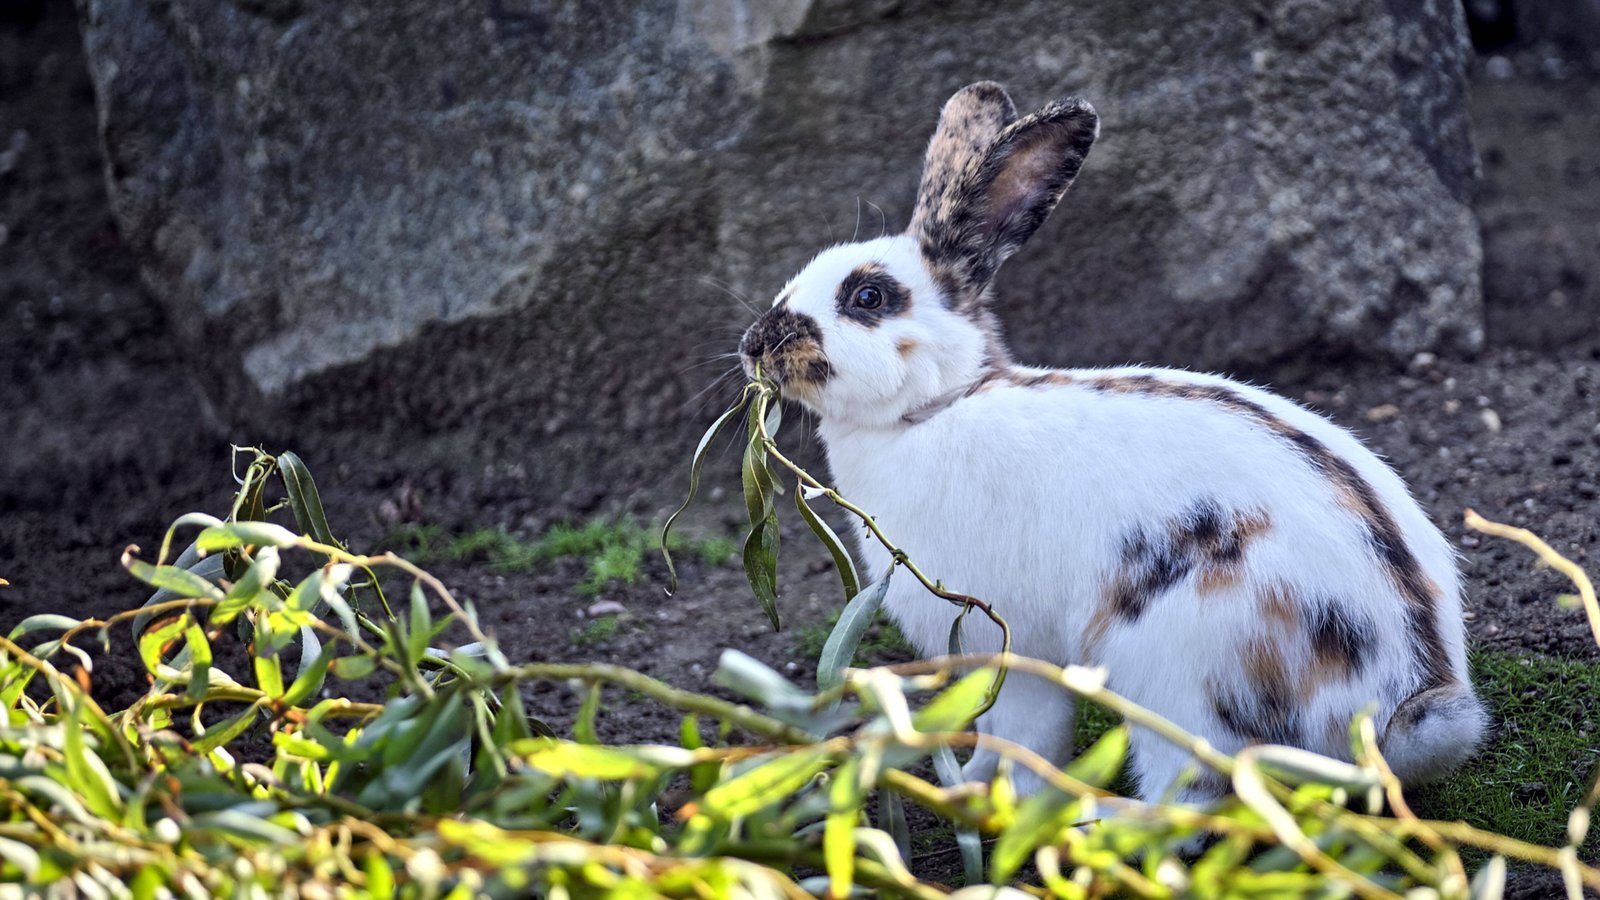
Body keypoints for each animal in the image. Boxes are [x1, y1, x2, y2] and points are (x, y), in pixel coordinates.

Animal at [736, 82, 1484, 797]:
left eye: (868, 299)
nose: (754, 347)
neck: (932, 409)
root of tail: (1404, 700)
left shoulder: (1010, 643)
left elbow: (1026, 734)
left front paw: (994, 799)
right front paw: (969, 779)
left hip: (1176, 680)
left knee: (1191, 792)